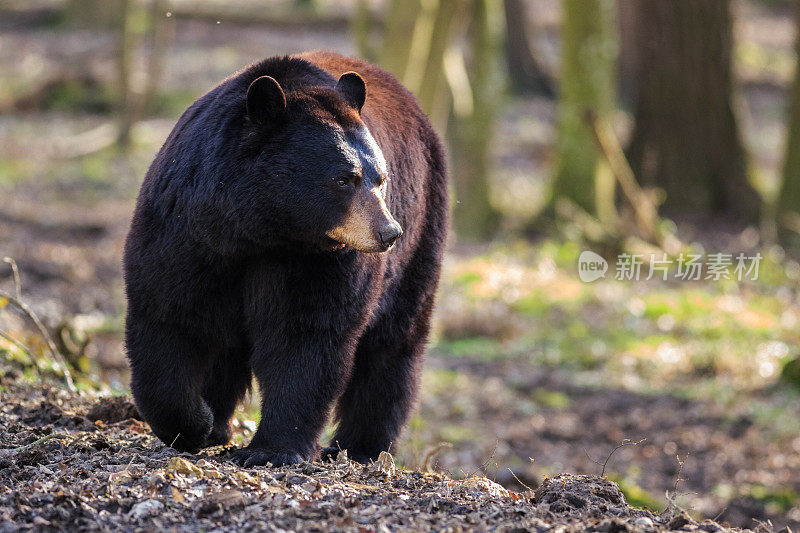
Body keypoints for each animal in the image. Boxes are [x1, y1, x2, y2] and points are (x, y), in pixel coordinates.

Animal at [125, 51, 450, 466]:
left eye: (381, 178)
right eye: (343, 179)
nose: (389, 232)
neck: (259, 228)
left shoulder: (316, 259)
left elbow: (306, 333)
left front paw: (270, 449)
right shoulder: (185, 230)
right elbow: (168, 314)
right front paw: (195, 423)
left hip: (424, 229)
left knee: (393, 339)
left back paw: (362, 446)